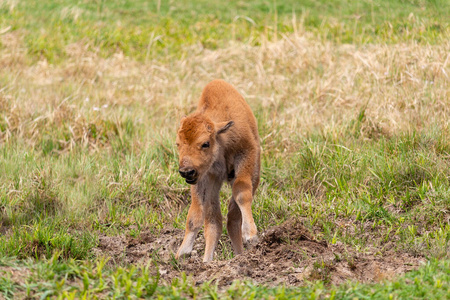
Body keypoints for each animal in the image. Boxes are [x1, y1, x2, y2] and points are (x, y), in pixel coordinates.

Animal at [176, 78, 260, 262]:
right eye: (177, 144)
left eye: (205, 143)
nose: (186, 171)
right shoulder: (205, 178)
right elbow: (195, 216)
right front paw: (182, 252)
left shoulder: (246, 156)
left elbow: (242, 192)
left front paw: (251, 235)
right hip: (213, 184)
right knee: (214, 222)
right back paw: (208, 261)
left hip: (254, 174)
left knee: (233, 217)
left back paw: (240, 253)